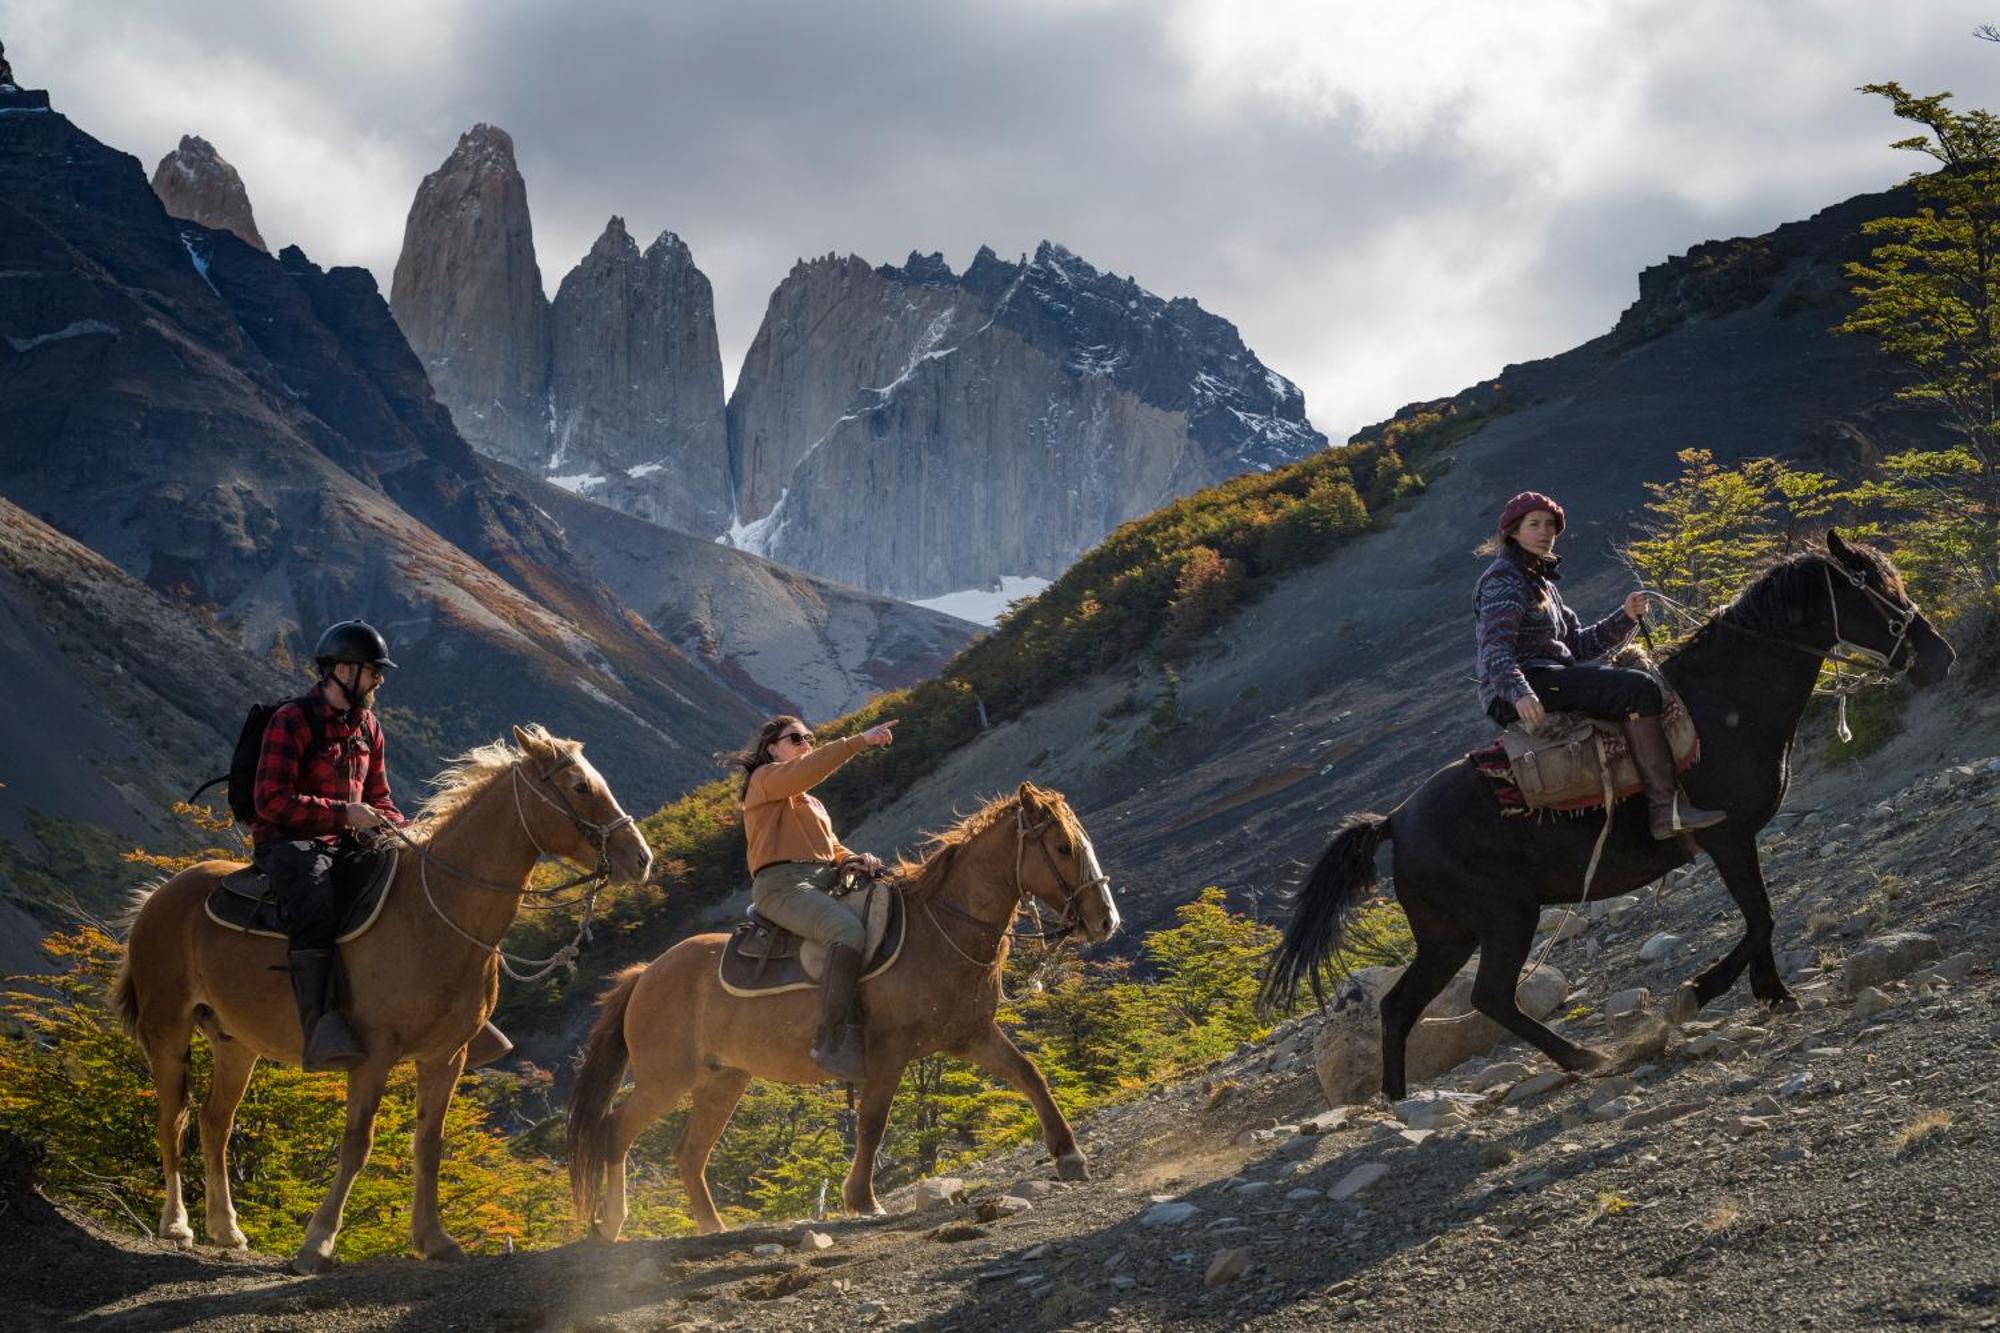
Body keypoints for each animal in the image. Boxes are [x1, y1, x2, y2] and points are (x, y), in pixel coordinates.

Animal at [113, 720, 648, 1272]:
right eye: (580, 787)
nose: (640, 858)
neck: (434, 917)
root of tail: (157, 895)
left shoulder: (446, 1056)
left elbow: (429, 1144)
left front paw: (433, 1239)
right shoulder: (373, 1055)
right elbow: (357, 1145)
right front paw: (318, 1242)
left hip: (235, 1044)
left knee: (214, 1122)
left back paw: (225, 1228)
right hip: (167, 1028)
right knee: (172, 1120)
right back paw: (177, 1225)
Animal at [572, 780, 1120, 1232]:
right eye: (1063, 847)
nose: (1105, 921)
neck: (937, 929)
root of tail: (645, 975)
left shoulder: (972, 1037)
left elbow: (1030, 1074)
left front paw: (1070, 1155)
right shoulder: (889, 1052)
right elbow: (873, 1122)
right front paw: (861, 1199)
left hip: (722, 1080)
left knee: (688, 1155)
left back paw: (711, 1228)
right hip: (667, 1078)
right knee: (615, 1133)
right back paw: (611, 1225)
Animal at [1264, 532, 1952, 1096]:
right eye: (1878, 589)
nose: (1939, 655)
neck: (1723, 704)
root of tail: (1395, 821)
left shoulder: (1736, 842)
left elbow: (1761, 918)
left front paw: (1765, 993)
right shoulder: (1727, 837)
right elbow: (1761, 915)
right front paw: (1706, 993)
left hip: (1448, 935)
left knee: (1402, 1007)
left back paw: (1402, 1101)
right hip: (1502, 919)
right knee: (1488, 997)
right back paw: (1584, 1058)